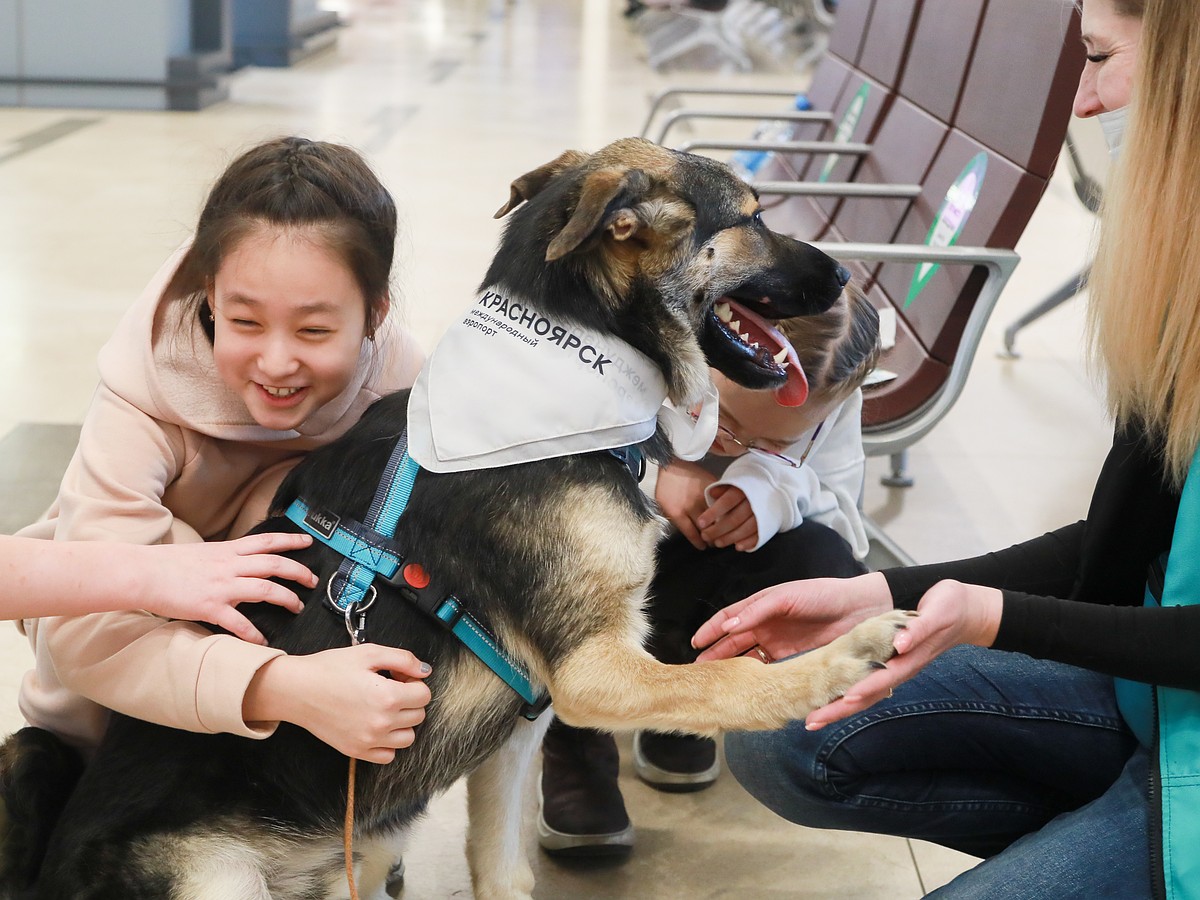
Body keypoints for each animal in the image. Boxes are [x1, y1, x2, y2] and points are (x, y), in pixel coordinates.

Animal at [4, 139, 912, 900]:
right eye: (753, 217)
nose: (852, 286)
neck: (574, 360)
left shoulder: (520, 731)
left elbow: (504, 869)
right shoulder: (592, 671)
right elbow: (731, 680)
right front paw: (848, 654)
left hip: (364, 847)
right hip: (219, 877)